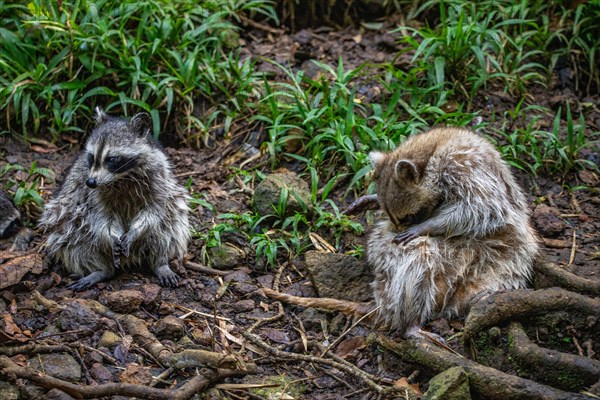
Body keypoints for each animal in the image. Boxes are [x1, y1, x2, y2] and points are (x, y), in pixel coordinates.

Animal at [39, 108, 190, 290]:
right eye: (91, 157)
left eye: (111, 159)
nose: (91, 182)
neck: (122, 177)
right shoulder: (93, 194)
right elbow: (103, 216)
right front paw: (112, 237)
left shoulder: (159, 180)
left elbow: (154, 211)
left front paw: (135, 231)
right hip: (66, 215)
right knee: (73, 234)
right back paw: (102, 269)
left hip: (173, 203)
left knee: (170, 225)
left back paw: (160, 263)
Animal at [366, 126, 540, 338]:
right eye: (392, 217)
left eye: (408, 217)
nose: (396, 231)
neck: (435, 148)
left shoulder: (465, 167)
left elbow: (482, 208)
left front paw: (428, 225)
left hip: (505, 261)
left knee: (421, 254)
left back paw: (412, 323)